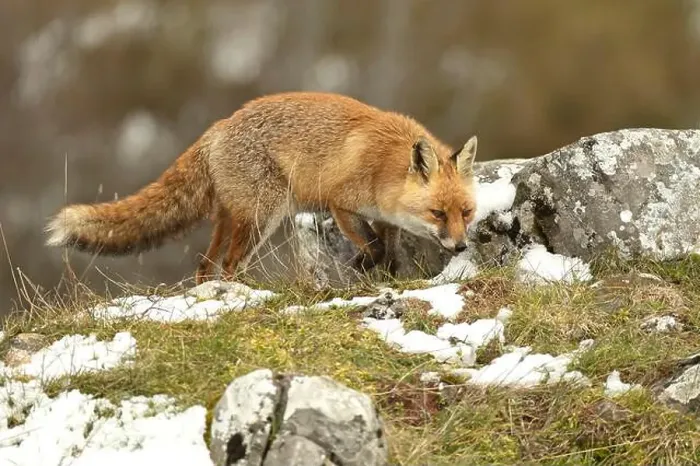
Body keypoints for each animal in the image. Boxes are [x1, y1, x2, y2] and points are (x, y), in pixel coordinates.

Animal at [45, 92, 479, 284]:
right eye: (437, 213)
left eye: (467, 212)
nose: (461, 247)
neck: (384, 166)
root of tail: (217, 128)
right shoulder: (340, 203)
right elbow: (370, 246)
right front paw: (363, 264)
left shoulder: (385, 218)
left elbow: (386, 249)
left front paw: (382, 274)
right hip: (261, 216)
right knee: (229, 265)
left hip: (230, 218)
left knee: (205, 267)